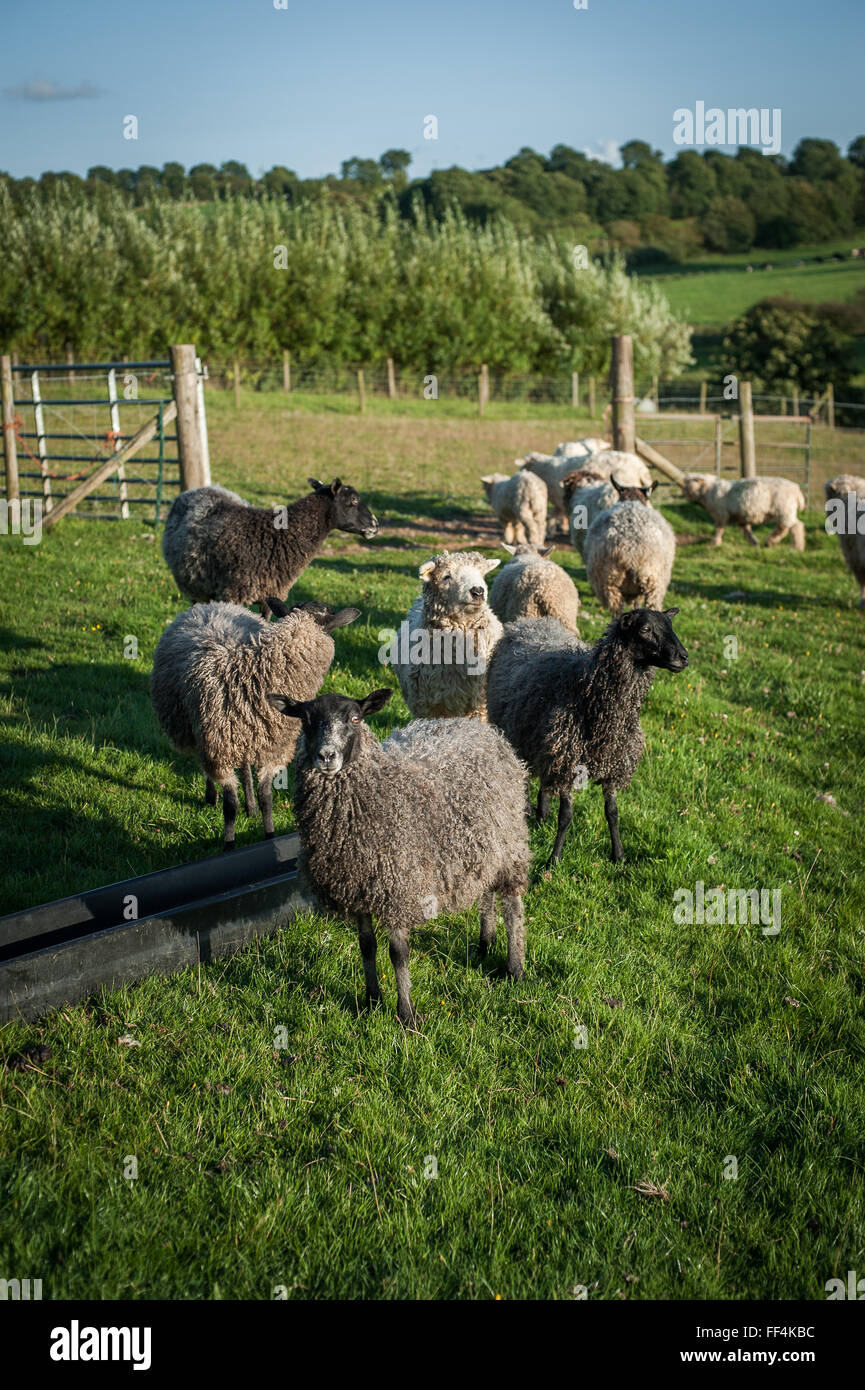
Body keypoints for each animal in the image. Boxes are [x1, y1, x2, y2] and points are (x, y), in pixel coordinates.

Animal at [150, 594, 361, 845]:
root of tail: (209, 605)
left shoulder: (273, 750)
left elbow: (266, 799)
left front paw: (268, 834)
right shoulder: (218, 750)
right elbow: (230, 806)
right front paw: (229, 845)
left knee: (243, 767)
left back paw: (250, 807)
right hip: (198, 733)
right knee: (205, 766)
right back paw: (211, 797)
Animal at [162, 478, 378, 614]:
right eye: (353, 500)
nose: (375, 525)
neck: (276, 535)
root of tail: (196, 490)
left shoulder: (270, 596)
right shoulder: (232, 595)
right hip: (195, 589)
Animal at [268, 689, 531, 1028]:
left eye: (356, 718)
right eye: (305, 719)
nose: (326, 756)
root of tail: (481, 729)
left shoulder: (396, 887)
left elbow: (398, 953)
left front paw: (406, 1013)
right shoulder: (359, 891)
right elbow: (366, 947)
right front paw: (371, 1001)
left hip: (509, 843)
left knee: (513, 905)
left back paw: (515, 968)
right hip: (480, 847)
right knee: (485, 890)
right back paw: (485, 944)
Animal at [492, 606, 686, 856]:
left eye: (670, 626)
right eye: (645, 629)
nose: (684, 657)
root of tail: (529, 622)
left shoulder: (612, 766)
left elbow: (612, 813)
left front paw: (618, 854)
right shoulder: (568, 762)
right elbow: (566, 816)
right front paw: (554, 858)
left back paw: (542, 814)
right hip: (517, 737)